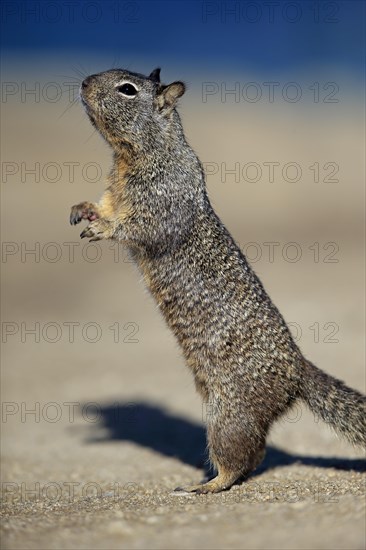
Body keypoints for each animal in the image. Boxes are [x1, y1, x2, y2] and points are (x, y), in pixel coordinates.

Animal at [69, 67, 366, 494]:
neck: (139, 153)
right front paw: (83, 210)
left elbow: (139, 225)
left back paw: (205, 485)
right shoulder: (115, 189)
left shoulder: (161, 196)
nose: (84, 83)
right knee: (255, 454)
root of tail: (298, 371)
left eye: (127, 89)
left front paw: (105, 228)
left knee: (241, 456)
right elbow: (104, 204)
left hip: (228, 413)